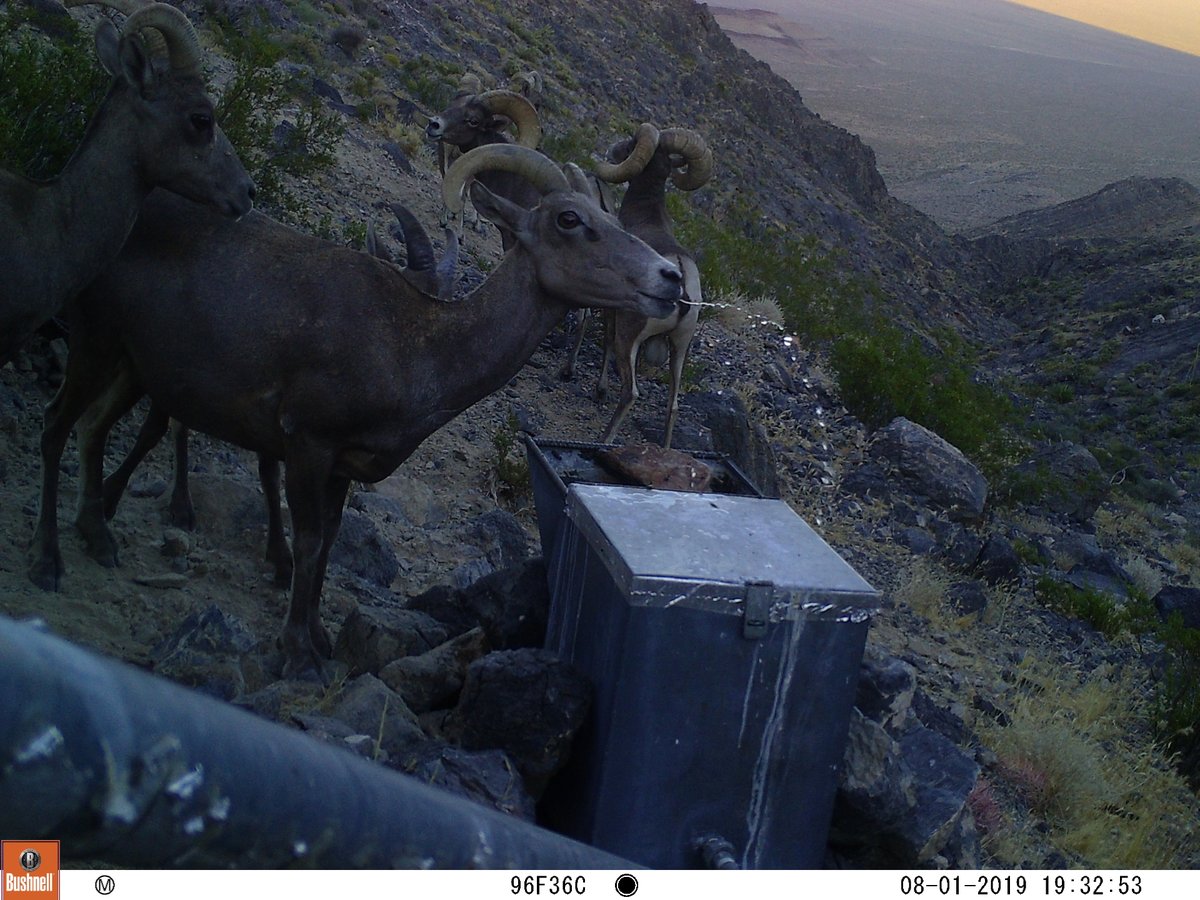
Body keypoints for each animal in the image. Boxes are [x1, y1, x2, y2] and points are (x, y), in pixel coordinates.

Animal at [28, 143, 683, 677]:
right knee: (56, 426)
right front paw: (298, 654)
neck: (416, 349)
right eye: (570, 220)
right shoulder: (307, 445)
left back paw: (98, 537)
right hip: (94, 344)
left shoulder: (342, 466)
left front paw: (320, 637)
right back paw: (48, 564)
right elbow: (311, 540)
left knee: (92, 431)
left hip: (131, 369)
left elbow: (330, 544)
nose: (669, 278)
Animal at [566, 123, 712, 448]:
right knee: (673, 406)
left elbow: (606, 340)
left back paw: (605, 438)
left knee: (630, 392)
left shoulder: (613, 314)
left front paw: (599, 390)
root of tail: (682, 287)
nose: (614, 150)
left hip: (631, 338)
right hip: (680, 348)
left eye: (632, 141)